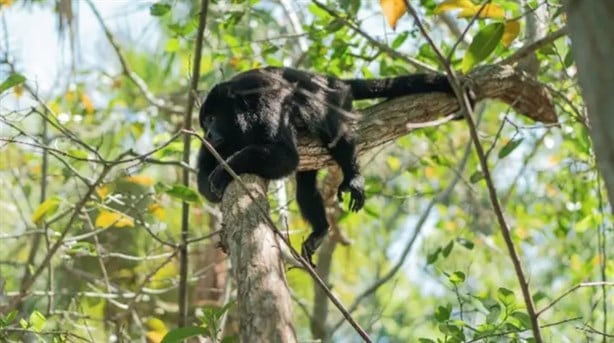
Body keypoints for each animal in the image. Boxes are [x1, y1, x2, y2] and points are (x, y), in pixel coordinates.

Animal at [195, 67, 460, 266]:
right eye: (204, 122)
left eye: (212, 118)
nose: (207, 133)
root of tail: (331, 80)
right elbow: (202, 175)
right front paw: (214, 181)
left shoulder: (266, 107)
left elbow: (286, 156)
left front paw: (224, 171)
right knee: (305, 187)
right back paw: (321, 228)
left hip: (337, 98)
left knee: (334, 131)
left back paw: (353, 177)